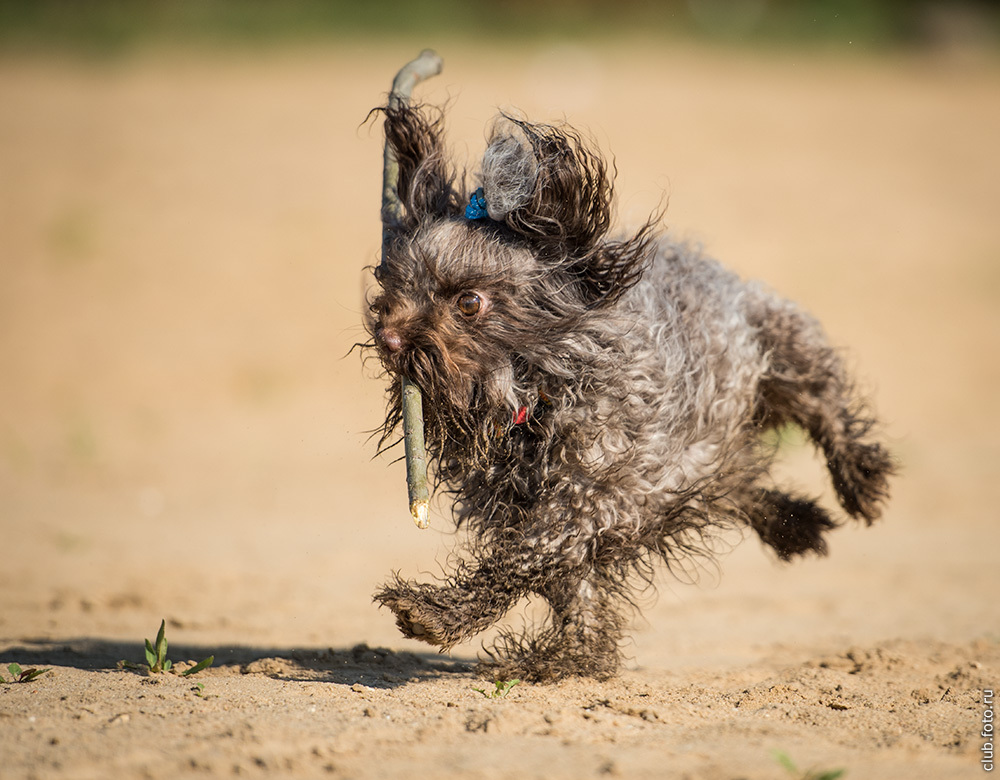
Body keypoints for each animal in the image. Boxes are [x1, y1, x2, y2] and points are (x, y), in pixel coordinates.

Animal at [364, 103, 896, 684]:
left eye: (468, 303)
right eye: (393, 284)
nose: (389, 338)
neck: (535, 395)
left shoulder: (593, 499)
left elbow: (522, 560)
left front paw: (436, 614)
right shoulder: (538, 511)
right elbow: (578, 606)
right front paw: (566, 658)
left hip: (785, 350)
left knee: (828, 408)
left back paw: (860, 482)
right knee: (739, 486)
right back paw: (796, 526)